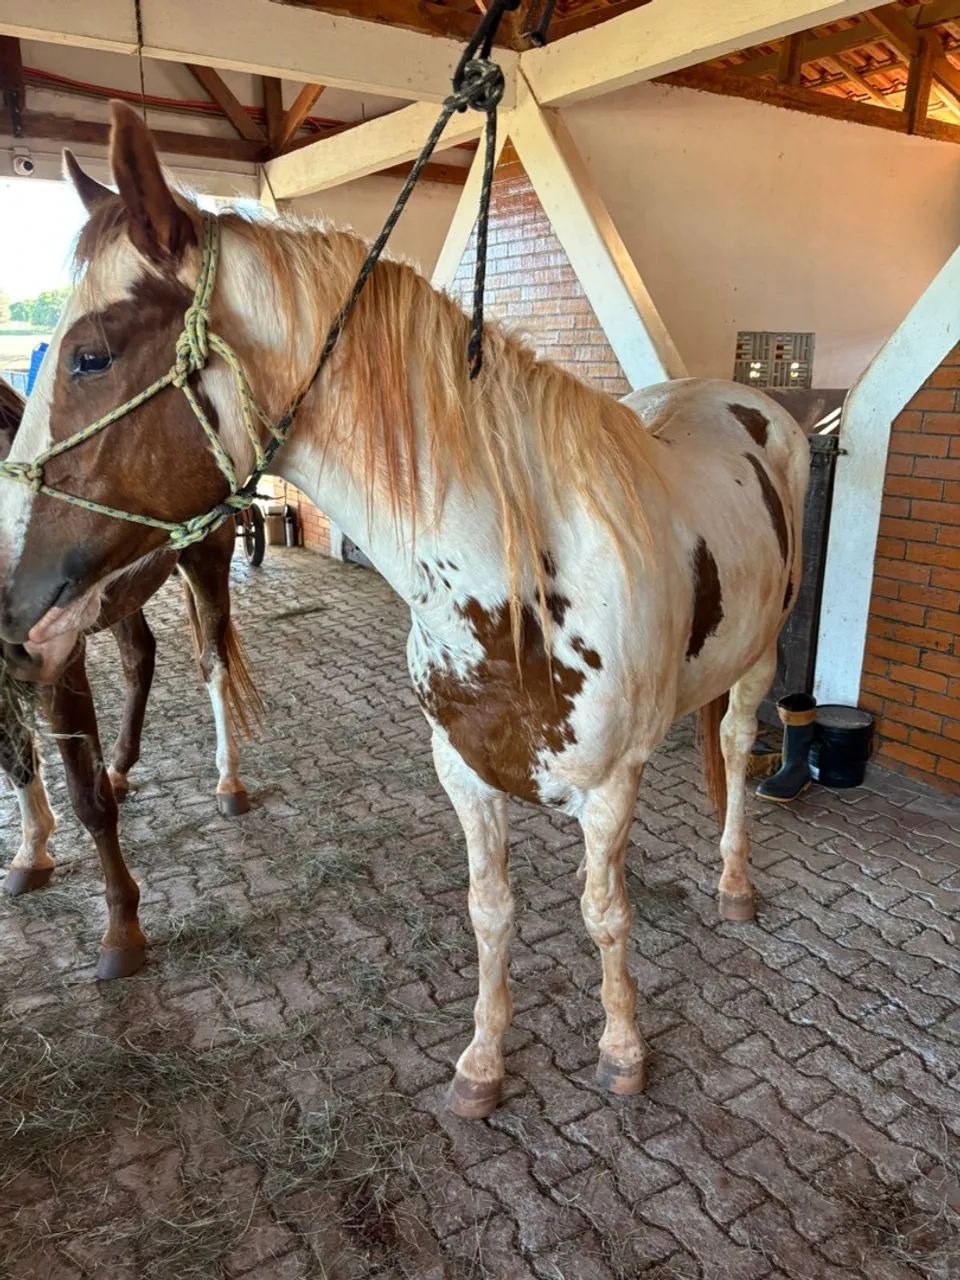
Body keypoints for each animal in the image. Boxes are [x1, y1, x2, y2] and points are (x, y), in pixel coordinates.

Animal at [0, 376, 260, 979]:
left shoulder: (58, 664)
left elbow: (85, 797)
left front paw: (121, 929)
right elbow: (17, 759)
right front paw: (31, 850)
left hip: (206, 560)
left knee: (212, 665)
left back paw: (228, 782)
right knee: (140, 656)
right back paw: (119, 766)